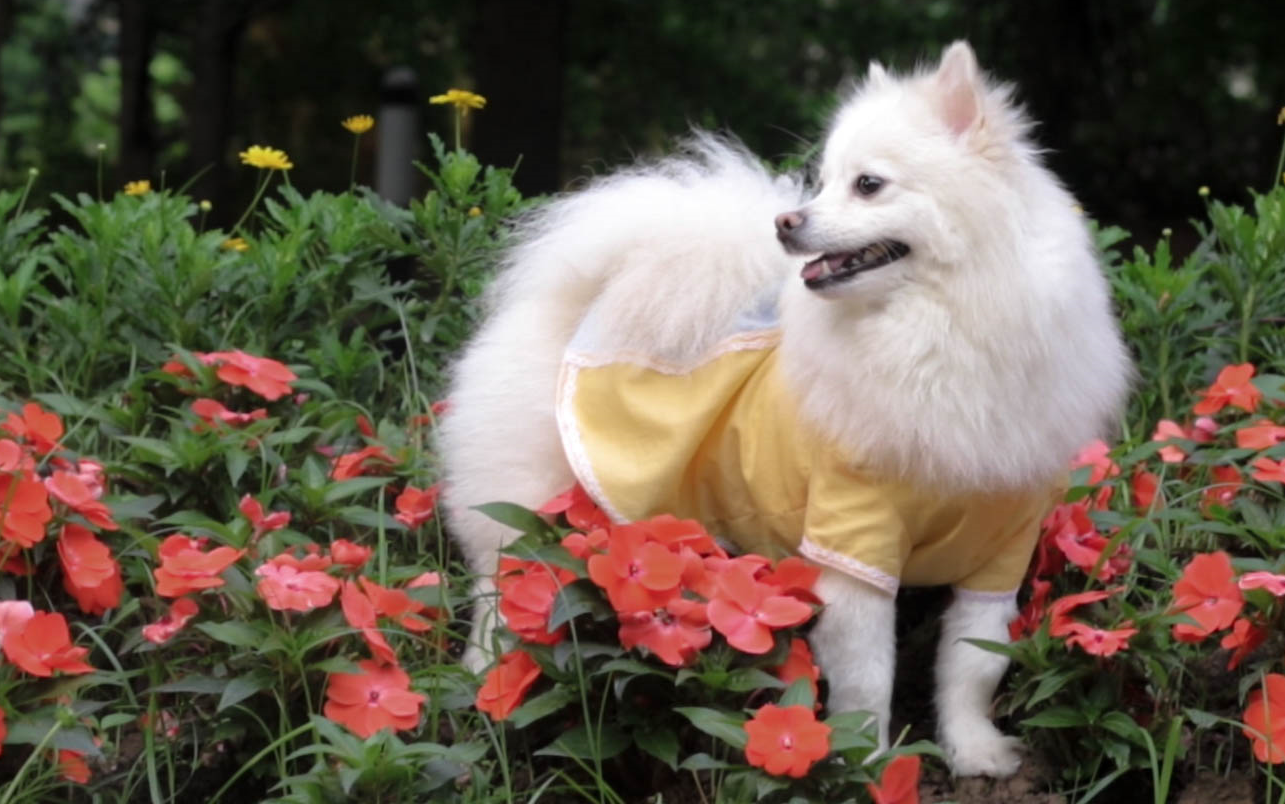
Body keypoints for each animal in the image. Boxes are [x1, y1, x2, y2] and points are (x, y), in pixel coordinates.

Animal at [439, 40, 1125, 775]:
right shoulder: (854, 544)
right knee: (499, 594)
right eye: (821, 182)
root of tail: (583, 301)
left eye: (867, 184)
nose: (785, 222)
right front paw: (865, 765)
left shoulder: (1000, 551)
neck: (937, 330)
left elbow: (972, 668)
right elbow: (868, 680)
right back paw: (484, 683)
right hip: (525, 511)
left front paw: (975, 755)